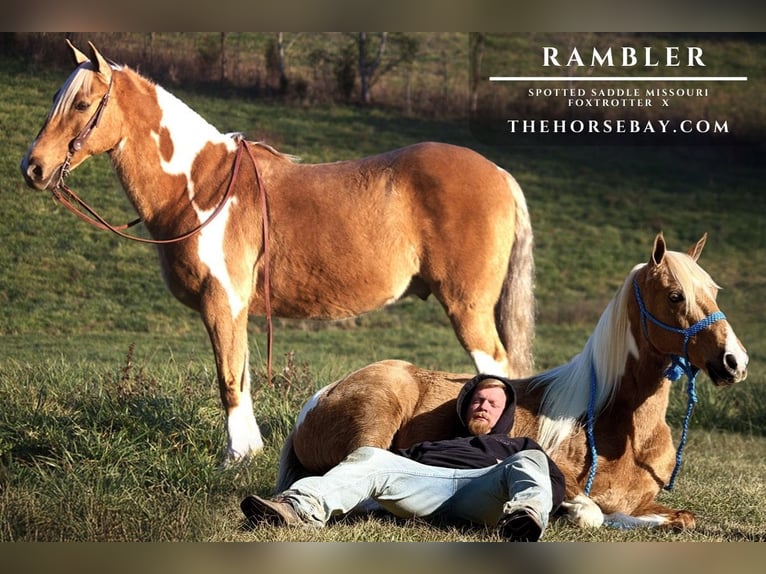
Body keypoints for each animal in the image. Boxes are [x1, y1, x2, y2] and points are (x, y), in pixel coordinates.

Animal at [20, 40, 535, 463]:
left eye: (82, 103)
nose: (33, 168)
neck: (202, 186)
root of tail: (498, 172)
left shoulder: (220, 302)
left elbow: (228, 379)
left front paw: (235, 458)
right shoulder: (236, 309)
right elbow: (241, 375)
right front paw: (250, 451)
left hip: (468, 307)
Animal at [277, 232, 749, 530]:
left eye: (714, 292)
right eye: (675, 296)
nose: (735, 361)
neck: (618, 428)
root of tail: (317, 400)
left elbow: (683, 518)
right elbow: (592, 512)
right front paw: (571, 514)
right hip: (376, 417)